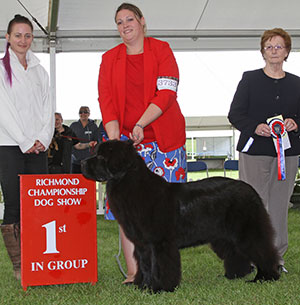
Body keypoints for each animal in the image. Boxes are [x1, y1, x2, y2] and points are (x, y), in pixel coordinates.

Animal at [81, 140, 280, 292]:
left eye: (101, 157)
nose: (82, 163)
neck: (129, 184)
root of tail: (251, 190)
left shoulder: (159, 242)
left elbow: (159, 266)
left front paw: (159, 288)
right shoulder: (142, 243)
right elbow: (144, 265)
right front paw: (143, 286)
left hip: (247, 231)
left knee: (263, 251)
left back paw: (265, 277)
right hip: (224, 237)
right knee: (236, 253)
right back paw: (234, 275)